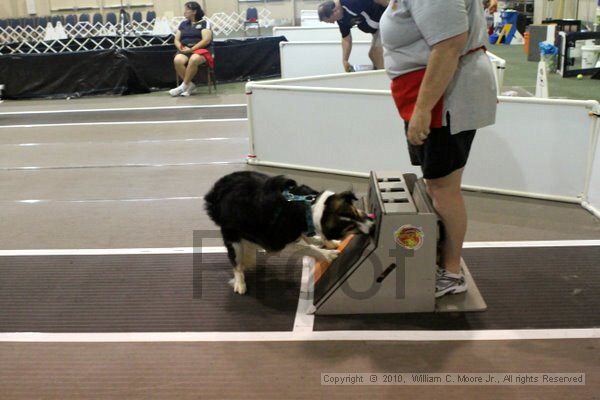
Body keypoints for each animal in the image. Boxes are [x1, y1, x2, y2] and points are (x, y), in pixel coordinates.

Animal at [206, 171, 376, 294]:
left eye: (355, 212)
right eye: (349, 227)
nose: (373, 226)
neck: (308, 206)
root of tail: (215, 190)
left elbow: (309, 239)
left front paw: (326, 242)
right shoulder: (276, 242)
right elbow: (306, 248)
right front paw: (326, 254)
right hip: (234, 239)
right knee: (236, 263)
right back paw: (240, 282)